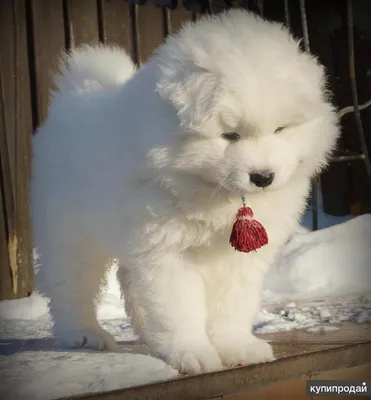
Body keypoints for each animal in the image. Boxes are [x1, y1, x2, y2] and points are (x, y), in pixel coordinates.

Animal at [31, 10, 340, 376]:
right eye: (230, 135)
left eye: (280, 129)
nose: (263, 177)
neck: (209, 191)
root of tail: (74, 94)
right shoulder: (166, 250)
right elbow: (179, 307)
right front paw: (194, 353)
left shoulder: (236, 257)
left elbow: (232, 304)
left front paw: (237, 347)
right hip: (70, 231)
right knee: (70, 282)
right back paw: (84, 335)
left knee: (130, 280)